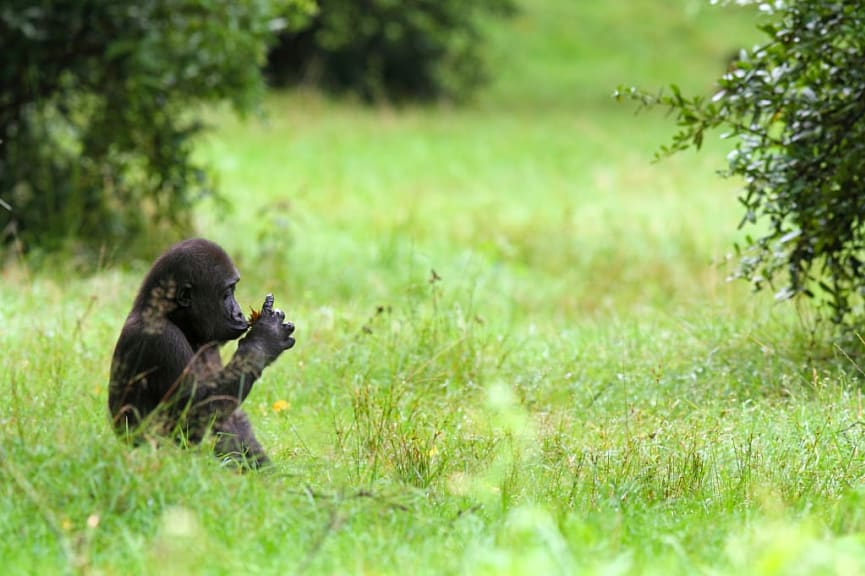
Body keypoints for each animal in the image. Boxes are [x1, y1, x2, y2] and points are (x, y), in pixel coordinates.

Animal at [106, 238, 296, 468]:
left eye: (234, 290)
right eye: (227, 293)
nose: (239, 313)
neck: (170, 315)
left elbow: (231, 416)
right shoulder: (162, 338)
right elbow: (198, 413)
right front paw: (266, 337)